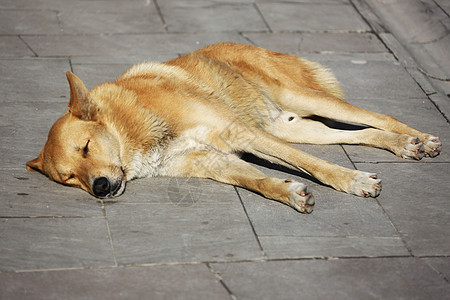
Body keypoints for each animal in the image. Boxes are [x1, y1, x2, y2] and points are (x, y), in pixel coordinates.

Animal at [24, 42, 440, 213]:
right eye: (69, 177)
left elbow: (316, 166)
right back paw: (402, 143)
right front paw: (289, 193)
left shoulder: (241, 134)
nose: (99, 188)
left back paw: (418, 138)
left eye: (86, 147)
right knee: (363, 133)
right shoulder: (212, 161)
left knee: (377, 116)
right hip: (290, 127)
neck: (135, 126)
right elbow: (259, 181)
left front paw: (353, 181)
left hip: (301, 99)